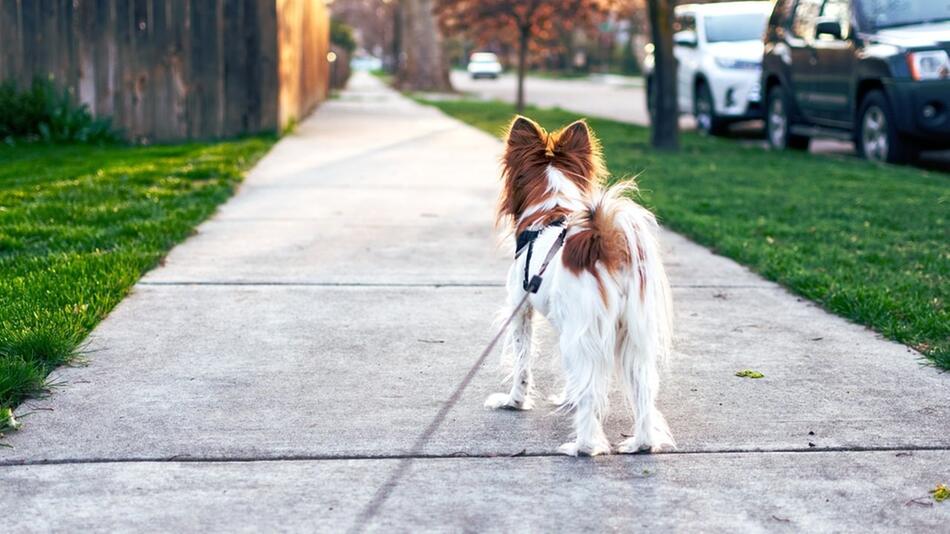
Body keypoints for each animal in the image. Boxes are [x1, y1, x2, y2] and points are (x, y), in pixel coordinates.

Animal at [484, 116, 676, 456]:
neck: (551, 209)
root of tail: (605, 243)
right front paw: (566, 398)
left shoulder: (521, 310)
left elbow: (522, 363)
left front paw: (514, 402)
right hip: (632, 334)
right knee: (643, 388)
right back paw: (641, 443)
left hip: (584, 332)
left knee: (591, 392)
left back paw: (582, 446)